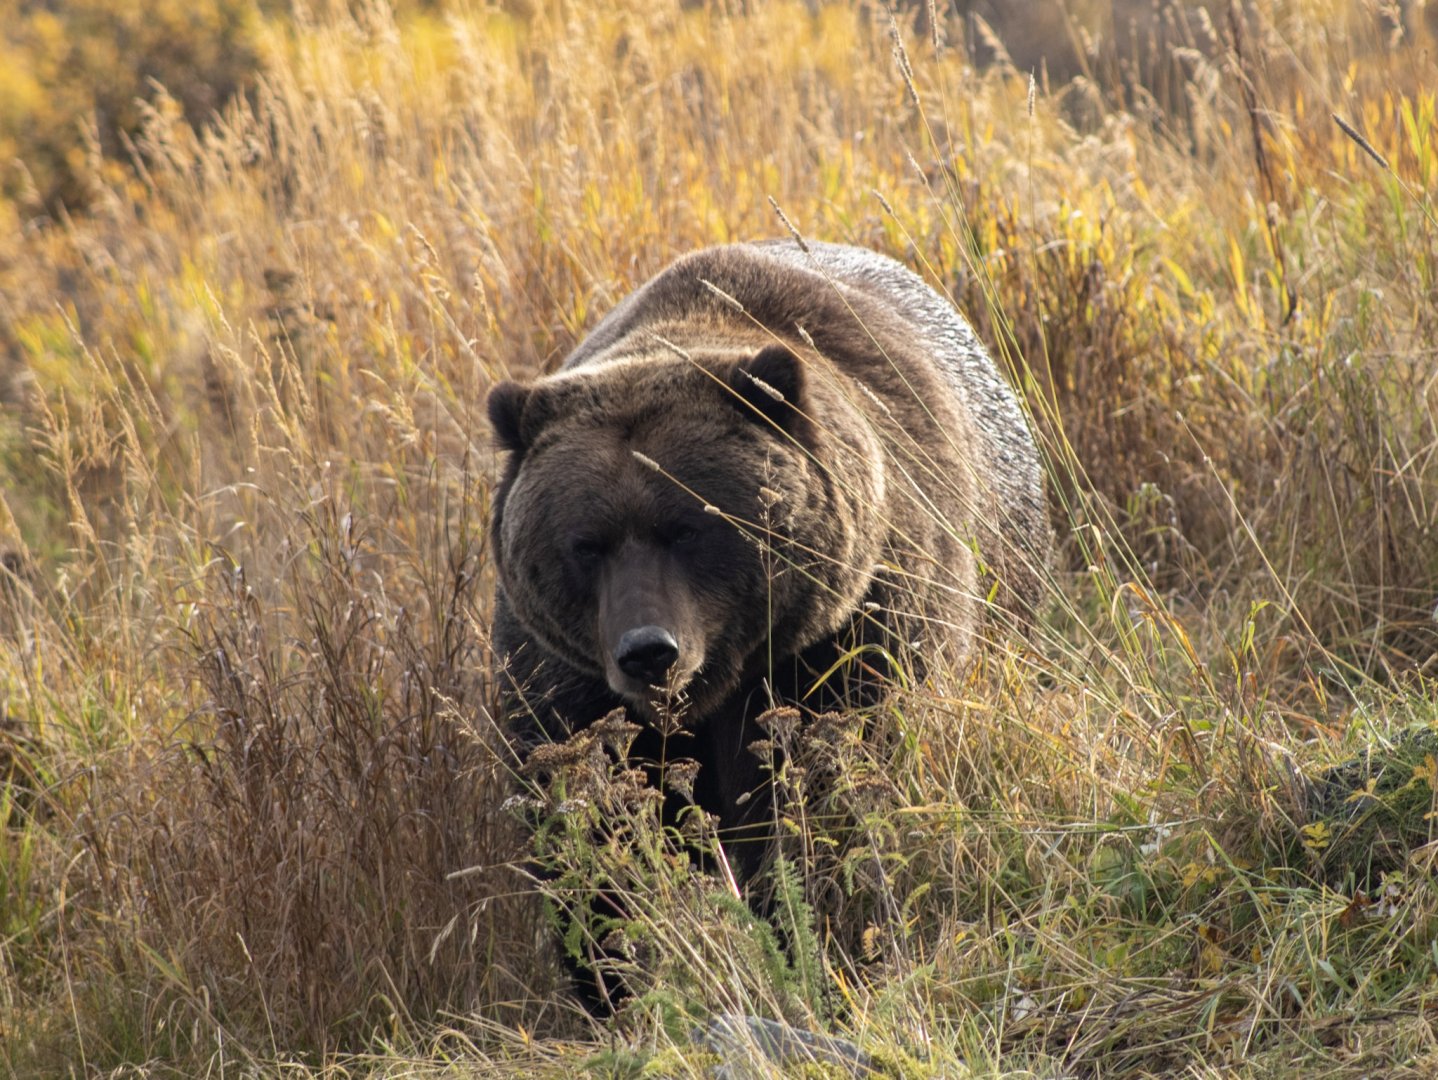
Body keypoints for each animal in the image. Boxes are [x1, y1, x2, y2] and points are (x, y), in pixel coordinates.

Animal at [487, 240, 1050, 1003]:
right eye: (585, 543)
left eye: (687, 527)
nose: (649, 650)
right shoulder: (567, 682)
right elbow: (587, 817)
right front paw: (615, 972)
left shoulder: (848, 634)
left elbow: (826, 791)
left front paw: (811, 935)